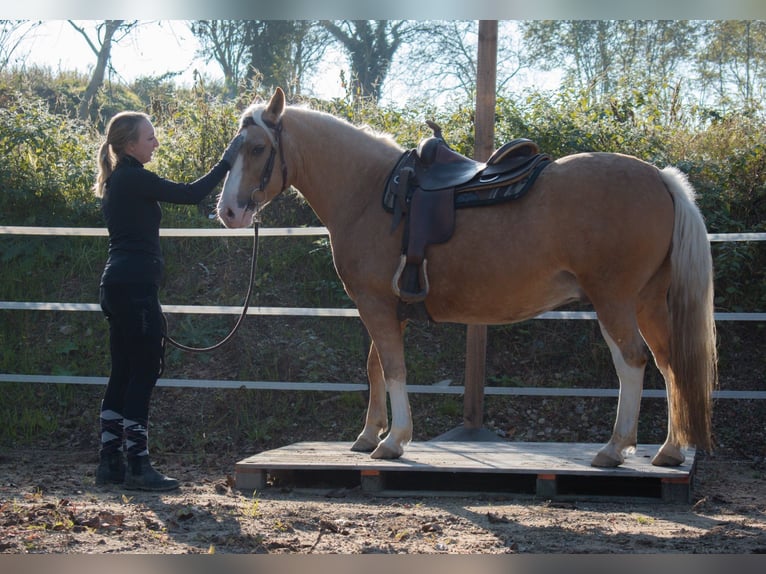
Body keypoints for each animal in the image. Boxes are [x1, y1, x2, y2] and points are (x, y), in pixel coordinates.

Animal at [216, 89, 720, 468]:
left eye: (258, 148)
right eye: (231, 152)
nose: (228, 212)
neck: (371, 191)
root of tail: (661, 178)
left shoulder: (375, 304)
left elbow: (393, 368)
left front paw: (394, 440)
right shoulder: (385, 308)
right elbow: (376, 366)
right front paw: (368, 434)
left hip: (613, 301)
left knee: (632, 361)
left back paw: (615, 448)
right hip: (649, 302)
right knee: (670, 363)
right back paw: (670, 450)